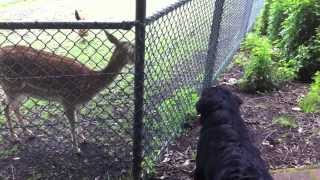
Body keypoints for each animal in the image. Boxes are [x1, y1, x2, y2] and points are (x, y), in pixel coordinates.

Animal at [0, 30, 134, 153]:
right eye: (131, 50)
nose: (134, 61)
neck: (90, 83)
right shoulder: (67, 99)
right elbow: (72, 124)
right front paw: (76, 148)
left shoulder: (77, 103)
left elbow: (78, 119)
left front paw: (83, 139)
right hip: (10, 86)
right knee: (7, 108)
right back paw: (14, 137)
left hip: (21, 91)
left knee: (14, 108)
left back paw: (28, 133)